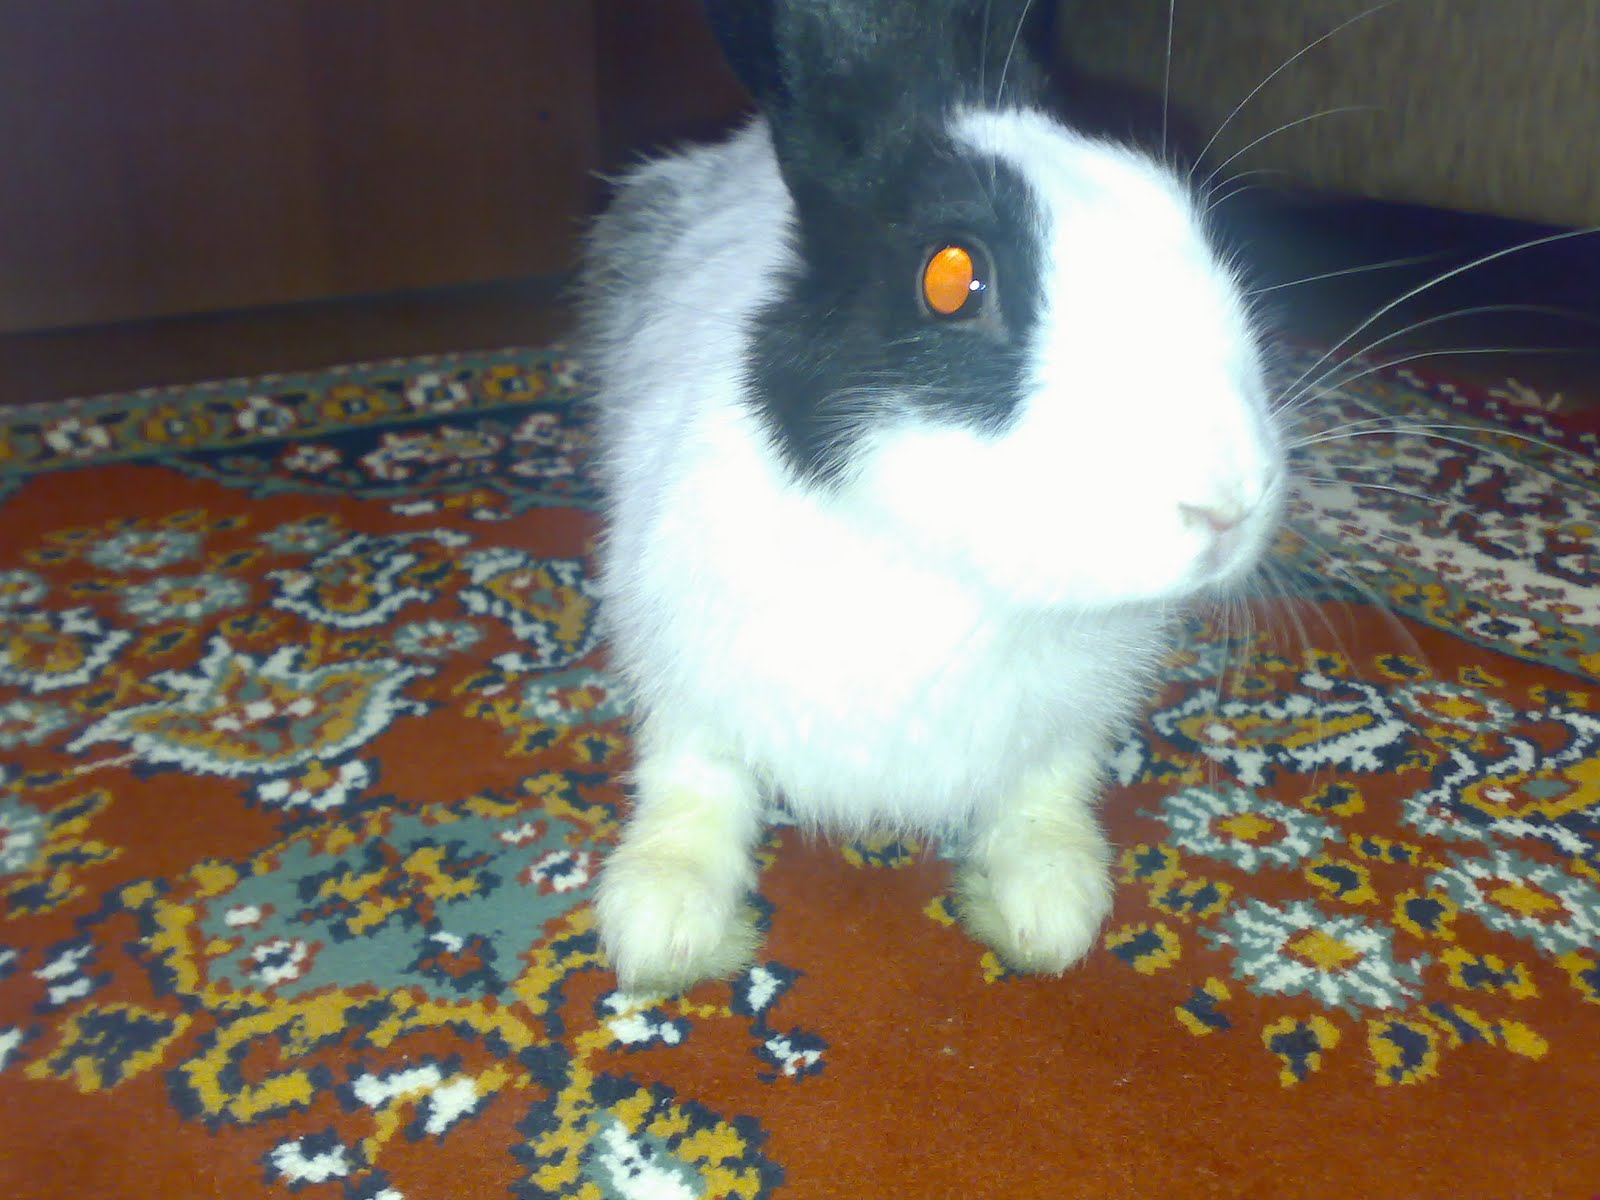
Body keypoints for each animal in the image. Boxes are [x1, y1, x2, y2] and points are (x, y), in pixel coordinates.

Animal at [579, 0, 1289, 995]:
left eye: (1185, 220)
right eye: (952, 281)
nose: (1228, 503)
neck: (949, 579)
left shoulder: (1068, 721)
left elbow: (1048, 785)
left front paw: (1048, 908)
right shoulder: (682, 668)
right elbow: (692, 778)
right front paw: (663, 925)